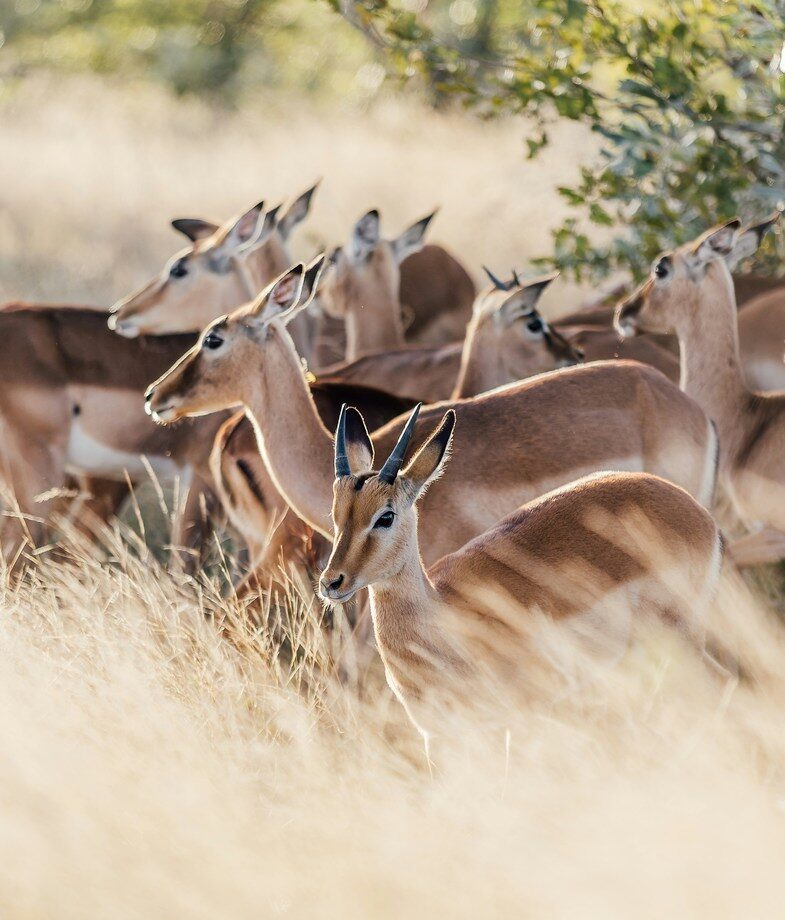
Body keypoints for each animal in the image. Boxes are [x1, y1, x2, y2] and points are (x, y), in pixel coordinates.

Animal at [319, 405, 723, 744]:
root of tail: (699, 514)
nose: (331, 583)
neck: (442, 617)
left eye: (385, 516)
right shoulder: (435, 735)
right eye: (335, 513)